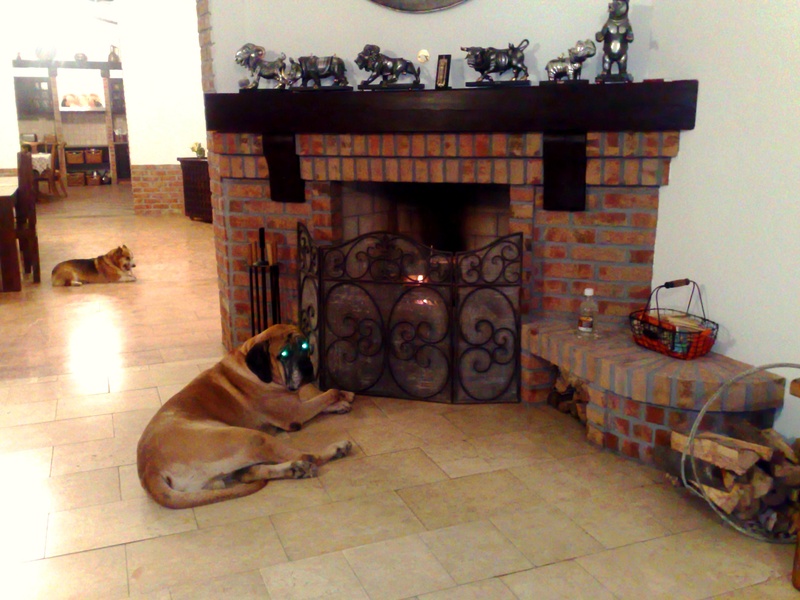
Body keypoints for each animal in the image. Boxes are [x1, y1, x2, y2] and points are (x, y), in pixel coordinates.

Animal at [137, 324, 356, 509]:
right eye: (284, 354)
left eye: (304, 346)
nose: (308, 368)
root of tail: (149, 470)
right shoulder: (295, 413)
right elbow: (328, 393)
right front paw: (342, 396)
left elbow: (318, 395)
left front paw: (343, 399)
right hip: (250, 437)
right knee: (307, 455)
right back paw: (336, 449)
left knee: (249, 473)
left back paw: (296, 469)